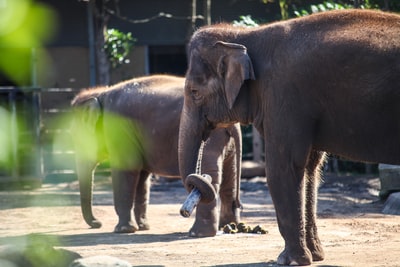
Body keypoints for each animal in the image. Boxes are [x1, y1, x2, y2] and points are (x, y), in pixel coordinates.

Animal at [70, 74, 242, 238]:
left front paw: (123, 230)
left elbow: (126, 169)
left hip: (211, 137)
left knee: (210, 176)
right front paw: (142, 227)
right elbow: (142, 178)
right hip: (225, 142)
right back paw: (229, 227)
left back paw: (198, 233)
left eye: (76, 140)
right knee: (229, 179)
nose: (97, 223)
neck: (100, 95)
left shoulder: (119, 130)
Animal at [180, 9, 400, 266]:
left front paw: (289, 260)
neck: (246, 36)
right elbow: (309, 169)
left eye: (194, 92)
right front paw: (315, 256)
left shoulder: (283, 95)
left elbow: (282, 168)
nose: (184, 211)